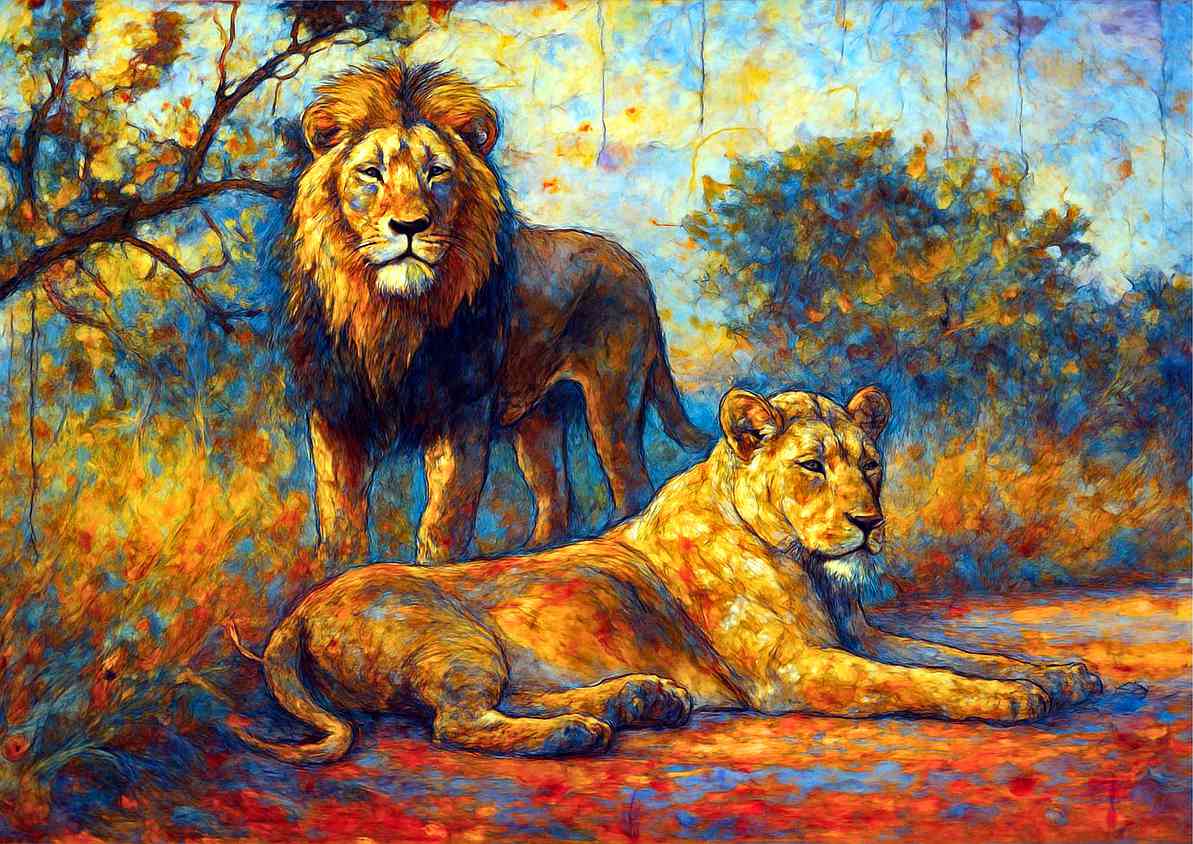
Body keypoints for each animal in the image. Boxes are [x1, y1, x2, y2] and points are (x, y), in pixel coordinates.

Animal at [217, 385, 1102, 762]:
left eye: (870, 464)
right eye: (812, 465)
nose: (867, 523)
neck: (807, 564)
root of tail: (295, 612)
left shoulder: (861, 633)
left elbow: (955, 653)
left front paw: (1057, 672)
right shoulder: (792, 670)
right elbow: (918, 682)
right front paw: (1010, 699)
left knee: (493, 704)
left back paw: (641, 700)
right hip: (455, 637)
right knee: (455, 722)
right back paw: (582, 733)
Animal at [282, 61, 708, 563]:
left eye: (436, 172)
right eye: (370, 173)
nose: (409, 226)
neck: (390, 312)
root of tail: (634, 267)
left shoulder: (462, 410)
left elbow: (445, 518)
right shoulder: (336, 411)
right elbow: (339, 517)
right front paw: (339, 571)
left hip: (613, 398)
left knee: (633, 486)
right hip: (538, 418)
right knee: (555, 496)